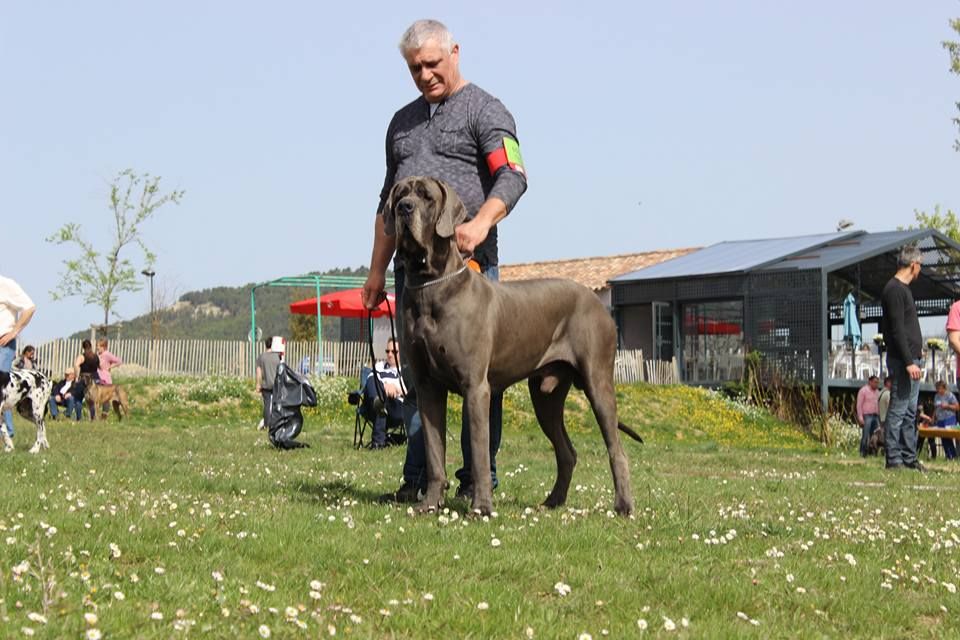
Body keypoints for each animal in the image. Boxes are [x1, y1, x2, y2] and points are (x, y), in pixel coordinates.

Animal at [383, 176, 642, 516]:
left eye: (426, 196)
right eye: (400, 193)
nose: (404, 208)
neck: (430, 285)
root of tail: (598, 302)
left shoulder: (476, 388)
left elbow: (480, 454)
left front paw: (481, 506)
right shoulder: (428, 389)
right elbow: (434, 453)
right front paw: (429, 504)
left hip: (597, 382)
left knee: (616, 449)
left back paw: (624, 505)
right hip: (545, 397)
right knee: (567, 451)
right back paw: (553, 501)